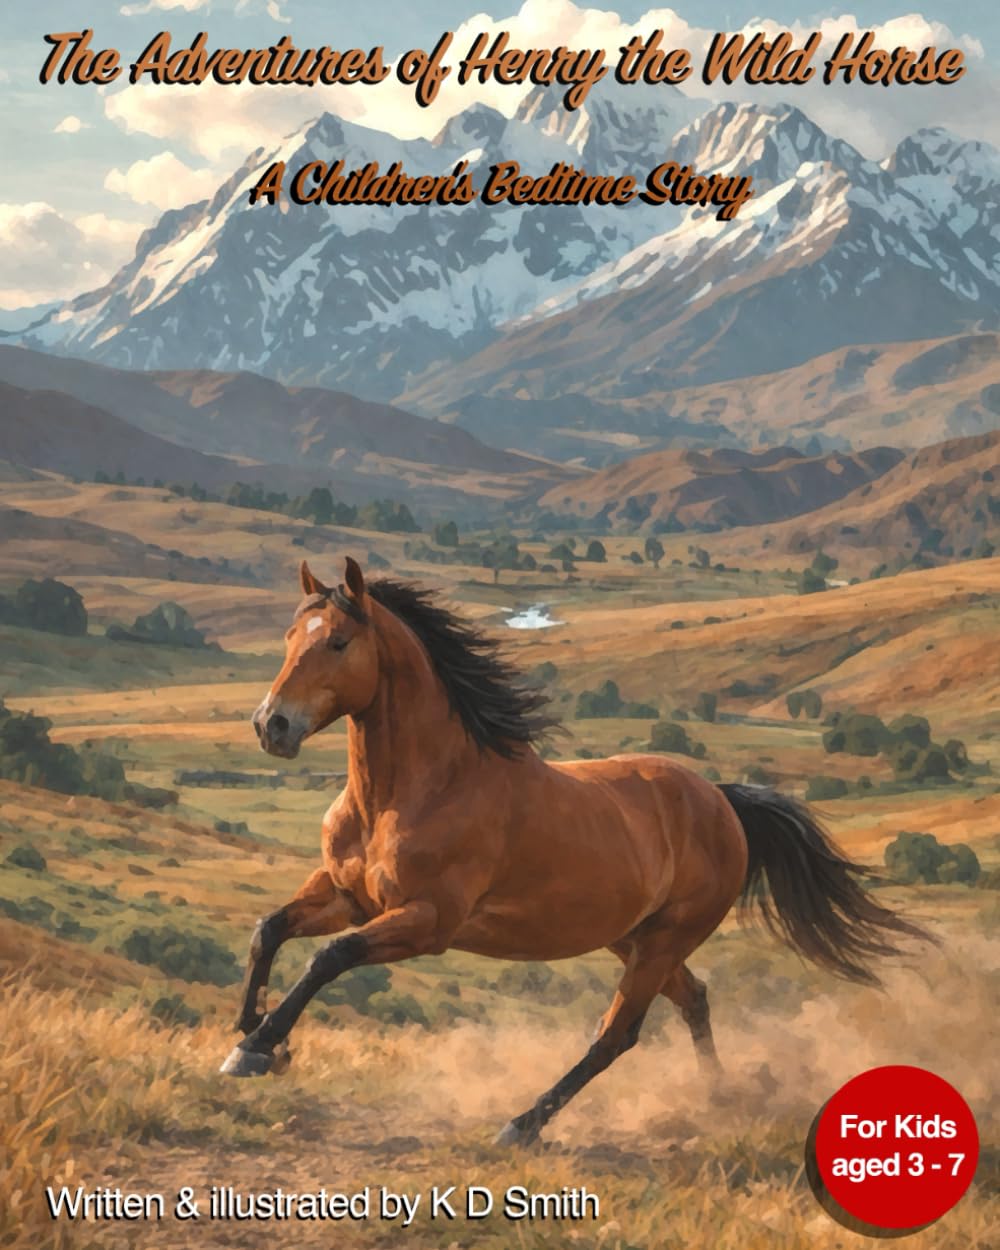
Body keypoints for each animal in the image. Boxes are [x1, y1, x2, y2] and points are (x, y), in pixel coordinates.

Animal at [221, 558, 928, 1145]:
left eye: (339, 642)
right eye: (290, 638)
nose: (270, 725)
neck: (416, 790)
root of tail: (722, 801)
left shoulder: (426, 922)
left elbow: (329, 958)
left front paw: (259, 1049)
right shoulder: (348, 896)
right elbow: (268, 930)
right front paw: (253, 1036)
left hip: (662, 940)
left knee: (617, 1034)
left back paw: (523, 1125)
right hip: (633, 937)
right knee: (694, 998)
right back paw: (719, 1098)